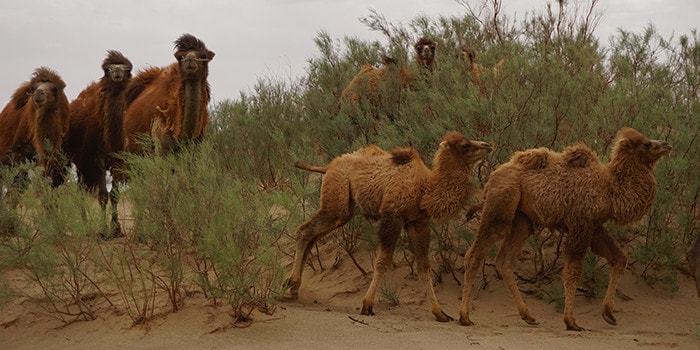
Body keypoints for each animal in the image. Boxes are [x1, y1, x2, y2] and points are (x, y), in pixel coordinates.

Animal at [65, 50, 133, 238]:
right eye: (107, 70)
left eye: (127, 69)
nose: (117, 71)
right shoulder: (96, 158)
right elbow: (103, 195)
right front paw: (103, 230)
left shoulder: (118, 160)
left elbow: (115, 194)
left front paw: (117, 229)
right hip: (79, 161)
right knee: (80, 189)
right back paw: (86, 224)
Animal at [284, 132, 492, 322]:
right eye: (464, 145)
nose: (488, 145)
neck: (424, 190)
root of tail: (328, 165)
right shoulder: (392, 216)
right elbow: (382, 261)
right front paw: (367, 305)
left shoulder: (418, 222)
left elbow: (423, 266)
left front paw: (440, 313)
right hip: (336, 199)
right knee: (305, 230)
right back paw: (291, 285)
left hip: (343, 210)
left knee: (312, 235)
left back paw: (293, 288)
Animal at [460, 127, 672, 330]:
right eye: (646, 144)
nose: (666, 145)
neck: (610, 191)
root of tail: (491, 179)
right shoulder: (581, 225)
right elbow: (573, 271)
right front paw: (571, 322)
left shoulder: (595, 228)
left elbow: (619, 259)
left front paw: (609, 314)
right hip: (500, 206)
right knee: (475, 255)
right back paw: (465, 317)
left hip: (522, 220)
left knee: (504, 260)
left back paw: (528, 316)